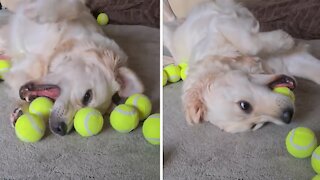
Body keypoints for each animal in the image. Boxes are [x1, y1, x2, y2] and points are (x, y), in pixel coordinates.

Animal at [164, 0, 320, 132]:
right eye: (254, 126)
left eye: (244, 105)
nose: (288, 115)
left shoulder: (220, 22)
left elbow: (250, 44)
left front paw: (284, 39)